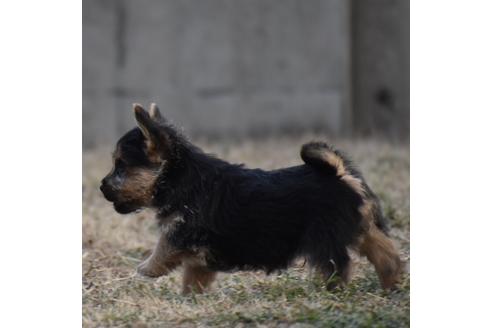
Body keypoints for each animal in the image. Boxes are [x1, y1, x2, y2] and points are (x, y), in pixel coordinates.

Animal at [101, 104, 404, 294]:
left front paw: (146, 268)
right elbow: (194, 276)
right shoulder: (197, 253)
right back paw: (392, 284)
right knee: (384, 252)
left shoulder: (180, 232)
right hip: (363, 226)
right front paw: (189, 299)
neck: (179, 176)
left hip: (325, 238)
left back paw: (332, 292)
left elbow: (163, 249)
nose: (101, 187)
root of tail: (339, 174)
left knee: (337, 266)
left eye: (120, 166)